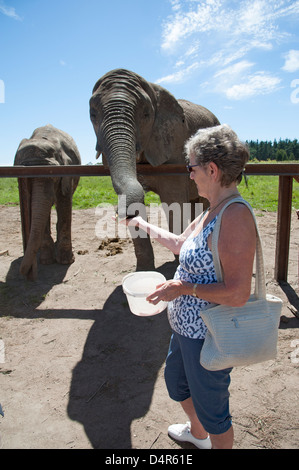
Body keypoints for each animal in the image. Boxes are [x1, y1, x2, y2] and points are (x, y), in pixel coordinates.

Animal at [14, 123, 81, 280]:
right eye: (26, 179)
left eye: (53, 176)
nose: (25, 273)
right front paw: (46, 261)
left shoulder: (67, 174)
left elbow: (64, 204)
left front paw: (65, 262)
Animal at [89, 68, 220, 270]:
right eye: (92, 114)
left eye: (145, 114)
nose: (119, 212)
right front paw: (143, 271)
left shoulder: (174, 150)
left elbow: (173, 201)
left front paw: (177, 266)